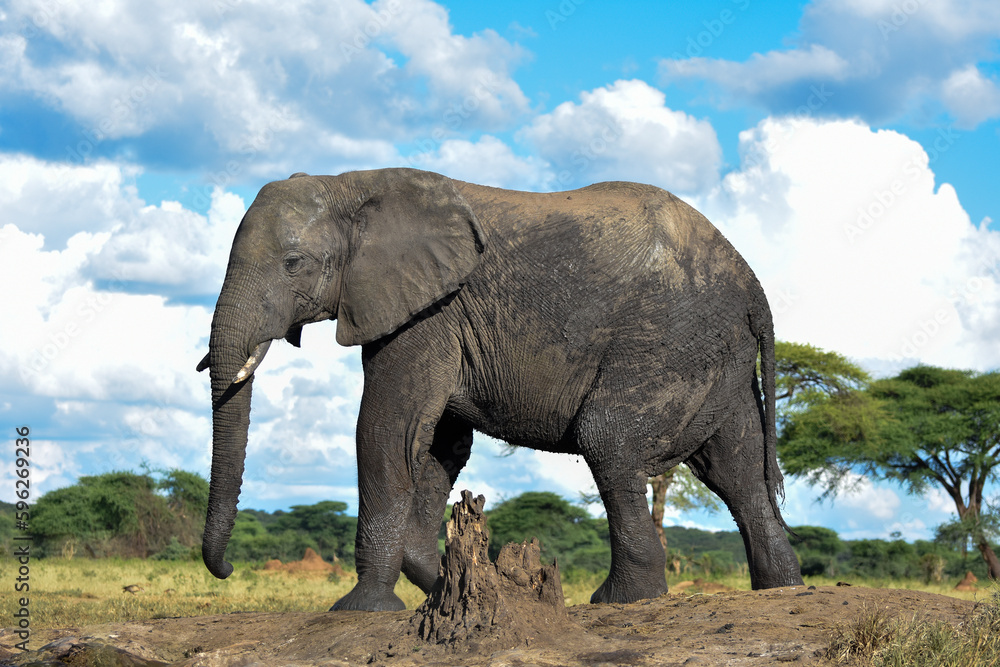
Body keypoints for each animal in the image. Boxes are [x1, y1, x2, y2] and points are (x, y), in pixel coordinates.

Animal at [198, 167, 804, 612]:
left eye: (293, 263)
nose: (226, 570)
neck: (353, 184)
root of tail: (755, 285)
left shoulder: (430, 311)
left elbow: (389, 430)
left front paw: (361, 609)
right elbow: (438, 445)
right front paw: (450, 584)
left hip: (668, 339)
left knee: (608, 440)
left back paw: (622, 599)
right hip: (716, 353)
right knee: (738, 470)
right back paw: (783, 589)